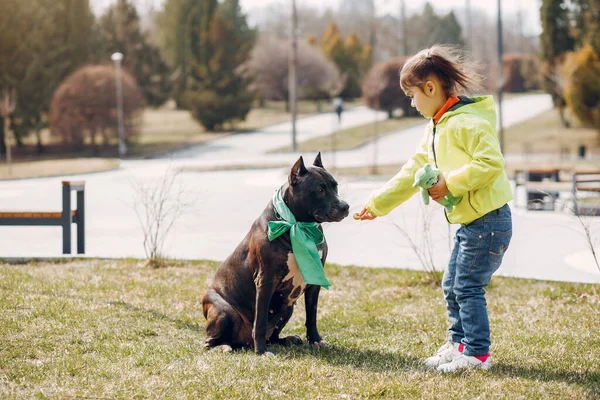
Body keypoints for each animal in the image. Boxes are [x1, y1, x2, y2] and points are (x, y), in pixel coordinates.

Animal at [203, 153, 350, 354]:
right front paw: (262, 352)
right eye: (319, 189)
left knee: (273, 335)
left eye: (335, 186)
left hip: (288, 307)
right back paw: (223, 347)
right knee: (209, 341)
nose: (345, 206)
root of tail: (243, 344)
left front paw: (315, 340)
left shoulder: (314, 281)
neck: (298, 226)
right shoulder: (265, 280)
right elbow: (260, 320)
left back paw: (287, 340)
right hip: (224, 310)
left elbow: (311, 316)